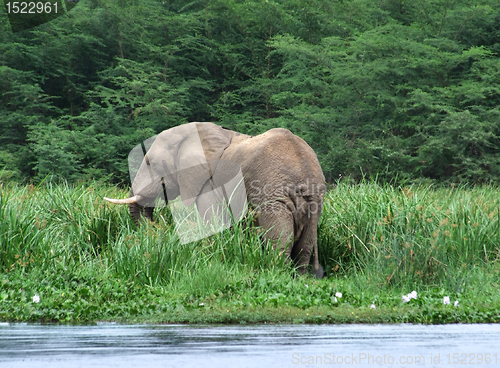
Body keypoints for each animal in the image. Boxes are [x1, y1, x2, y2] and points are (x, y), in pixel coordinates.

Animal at [103, 122, 326, 278]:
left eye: (152, 163)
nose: (157, 230)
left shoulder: (209, 184)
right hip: (315, 203)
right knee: (306, 244)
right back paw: (299, 278)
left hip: (272, 195)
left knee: (279, 239)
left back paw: (278, 273)